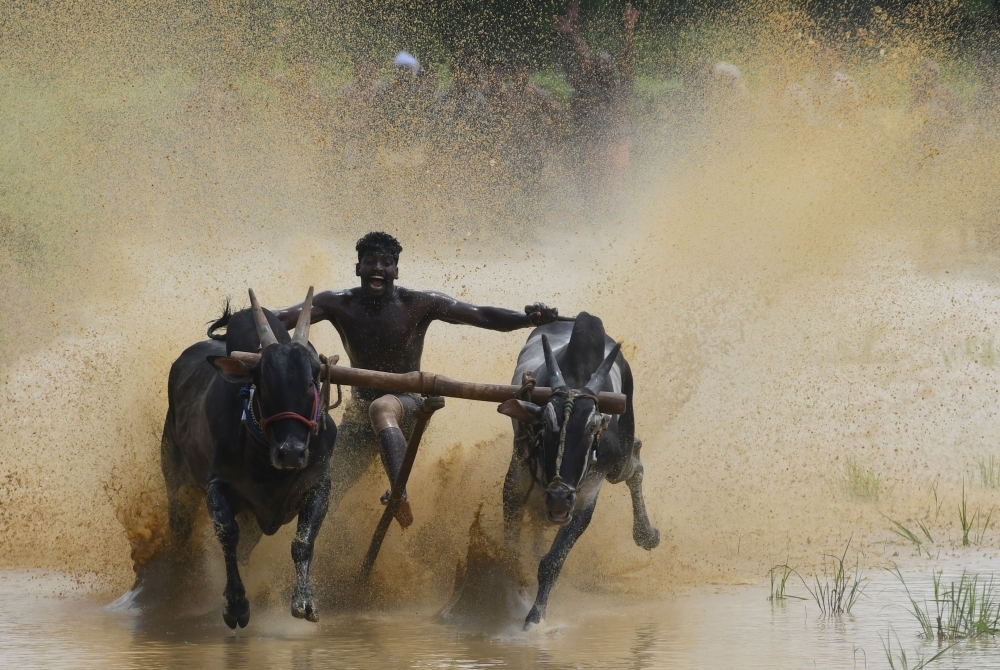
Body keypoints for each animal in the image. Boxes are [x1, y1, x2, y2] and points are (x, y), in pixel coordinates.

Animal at [160, 288, 338, 632]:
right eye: (263, 385)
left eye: (312, 382)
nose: (291, 452)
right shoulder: (218, 485)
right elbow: (228, 538)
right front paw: (236, 605)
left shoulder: (318, 484)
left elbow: (303, 542)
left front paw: (305, 602)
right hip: (176, 483)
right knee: (180, 531)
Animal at [498, 314, 656, 632]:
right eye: (544, 423)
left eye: (593, 427)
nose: (559, 498)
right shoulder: (518, 474)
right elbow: (511, 550)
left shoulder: (587, 493)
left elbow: (552, 561)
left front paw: (535, 618)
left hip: (618, 461)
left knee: (635, 462)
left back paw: (647, 534)